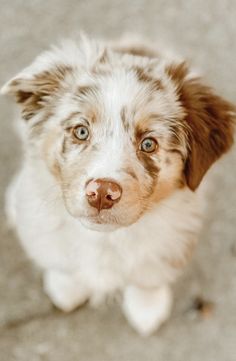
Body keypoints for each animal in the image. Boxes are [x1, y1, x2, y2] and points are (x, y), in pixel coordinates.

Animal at [1, 35, 234, 334]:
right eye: (81, 131)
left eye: (148, 144)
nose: (101, 193)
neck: (105, 238)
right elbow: (60, 257)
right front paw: (67, 287)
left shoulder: (174, 234)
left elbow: (149, 273)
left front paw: (147, 307)